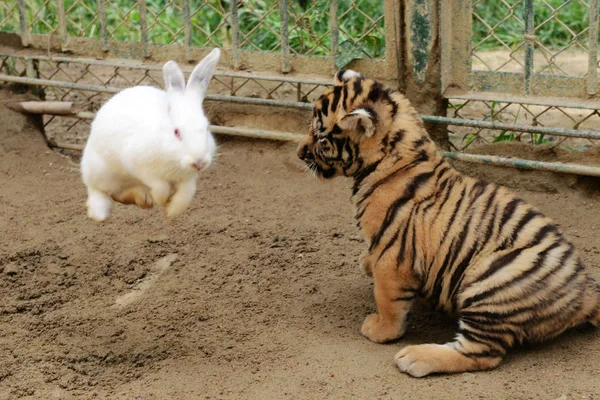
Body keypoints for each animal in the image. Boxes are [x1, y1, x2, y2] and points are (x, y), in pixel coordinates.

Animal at [79, 48, 220, 222]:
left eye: (207, 128)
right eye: (176, 132)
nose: (199, 162)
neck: (174, 162)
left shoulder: (188, 179)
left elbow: (186, 194)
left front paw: (171, 211)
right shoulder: (141, 167)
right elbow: (160, 187)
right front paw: (161, 200)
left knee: (119, 195)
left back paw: (143, 200)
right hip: (99, 171)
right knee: (97, 190)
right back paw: (100, 213)